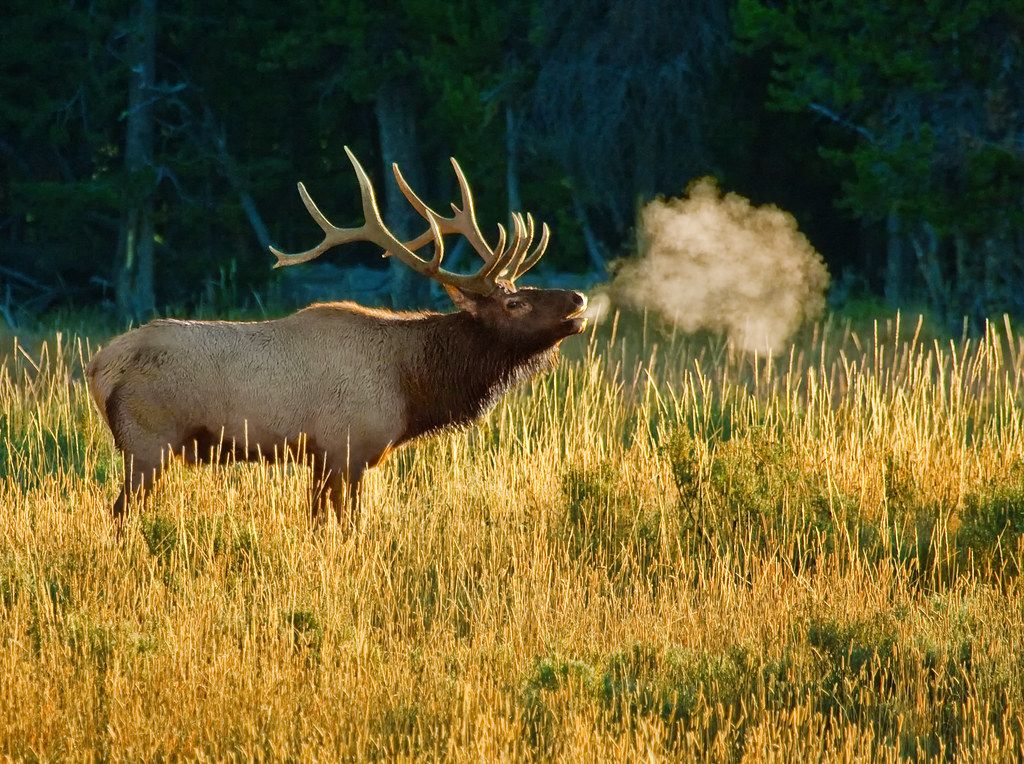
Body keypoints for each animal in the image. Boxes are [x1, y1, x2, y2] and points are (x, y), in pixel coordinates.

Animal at [86, 145, 593, 520]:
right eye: (514, 303)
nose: (578, 299)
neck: (413, 387)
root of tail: (98, 367)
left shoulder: (321, 457)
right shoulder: (348, 448)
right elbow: (348, 524)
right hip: (147, 442)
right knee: (120, 513)